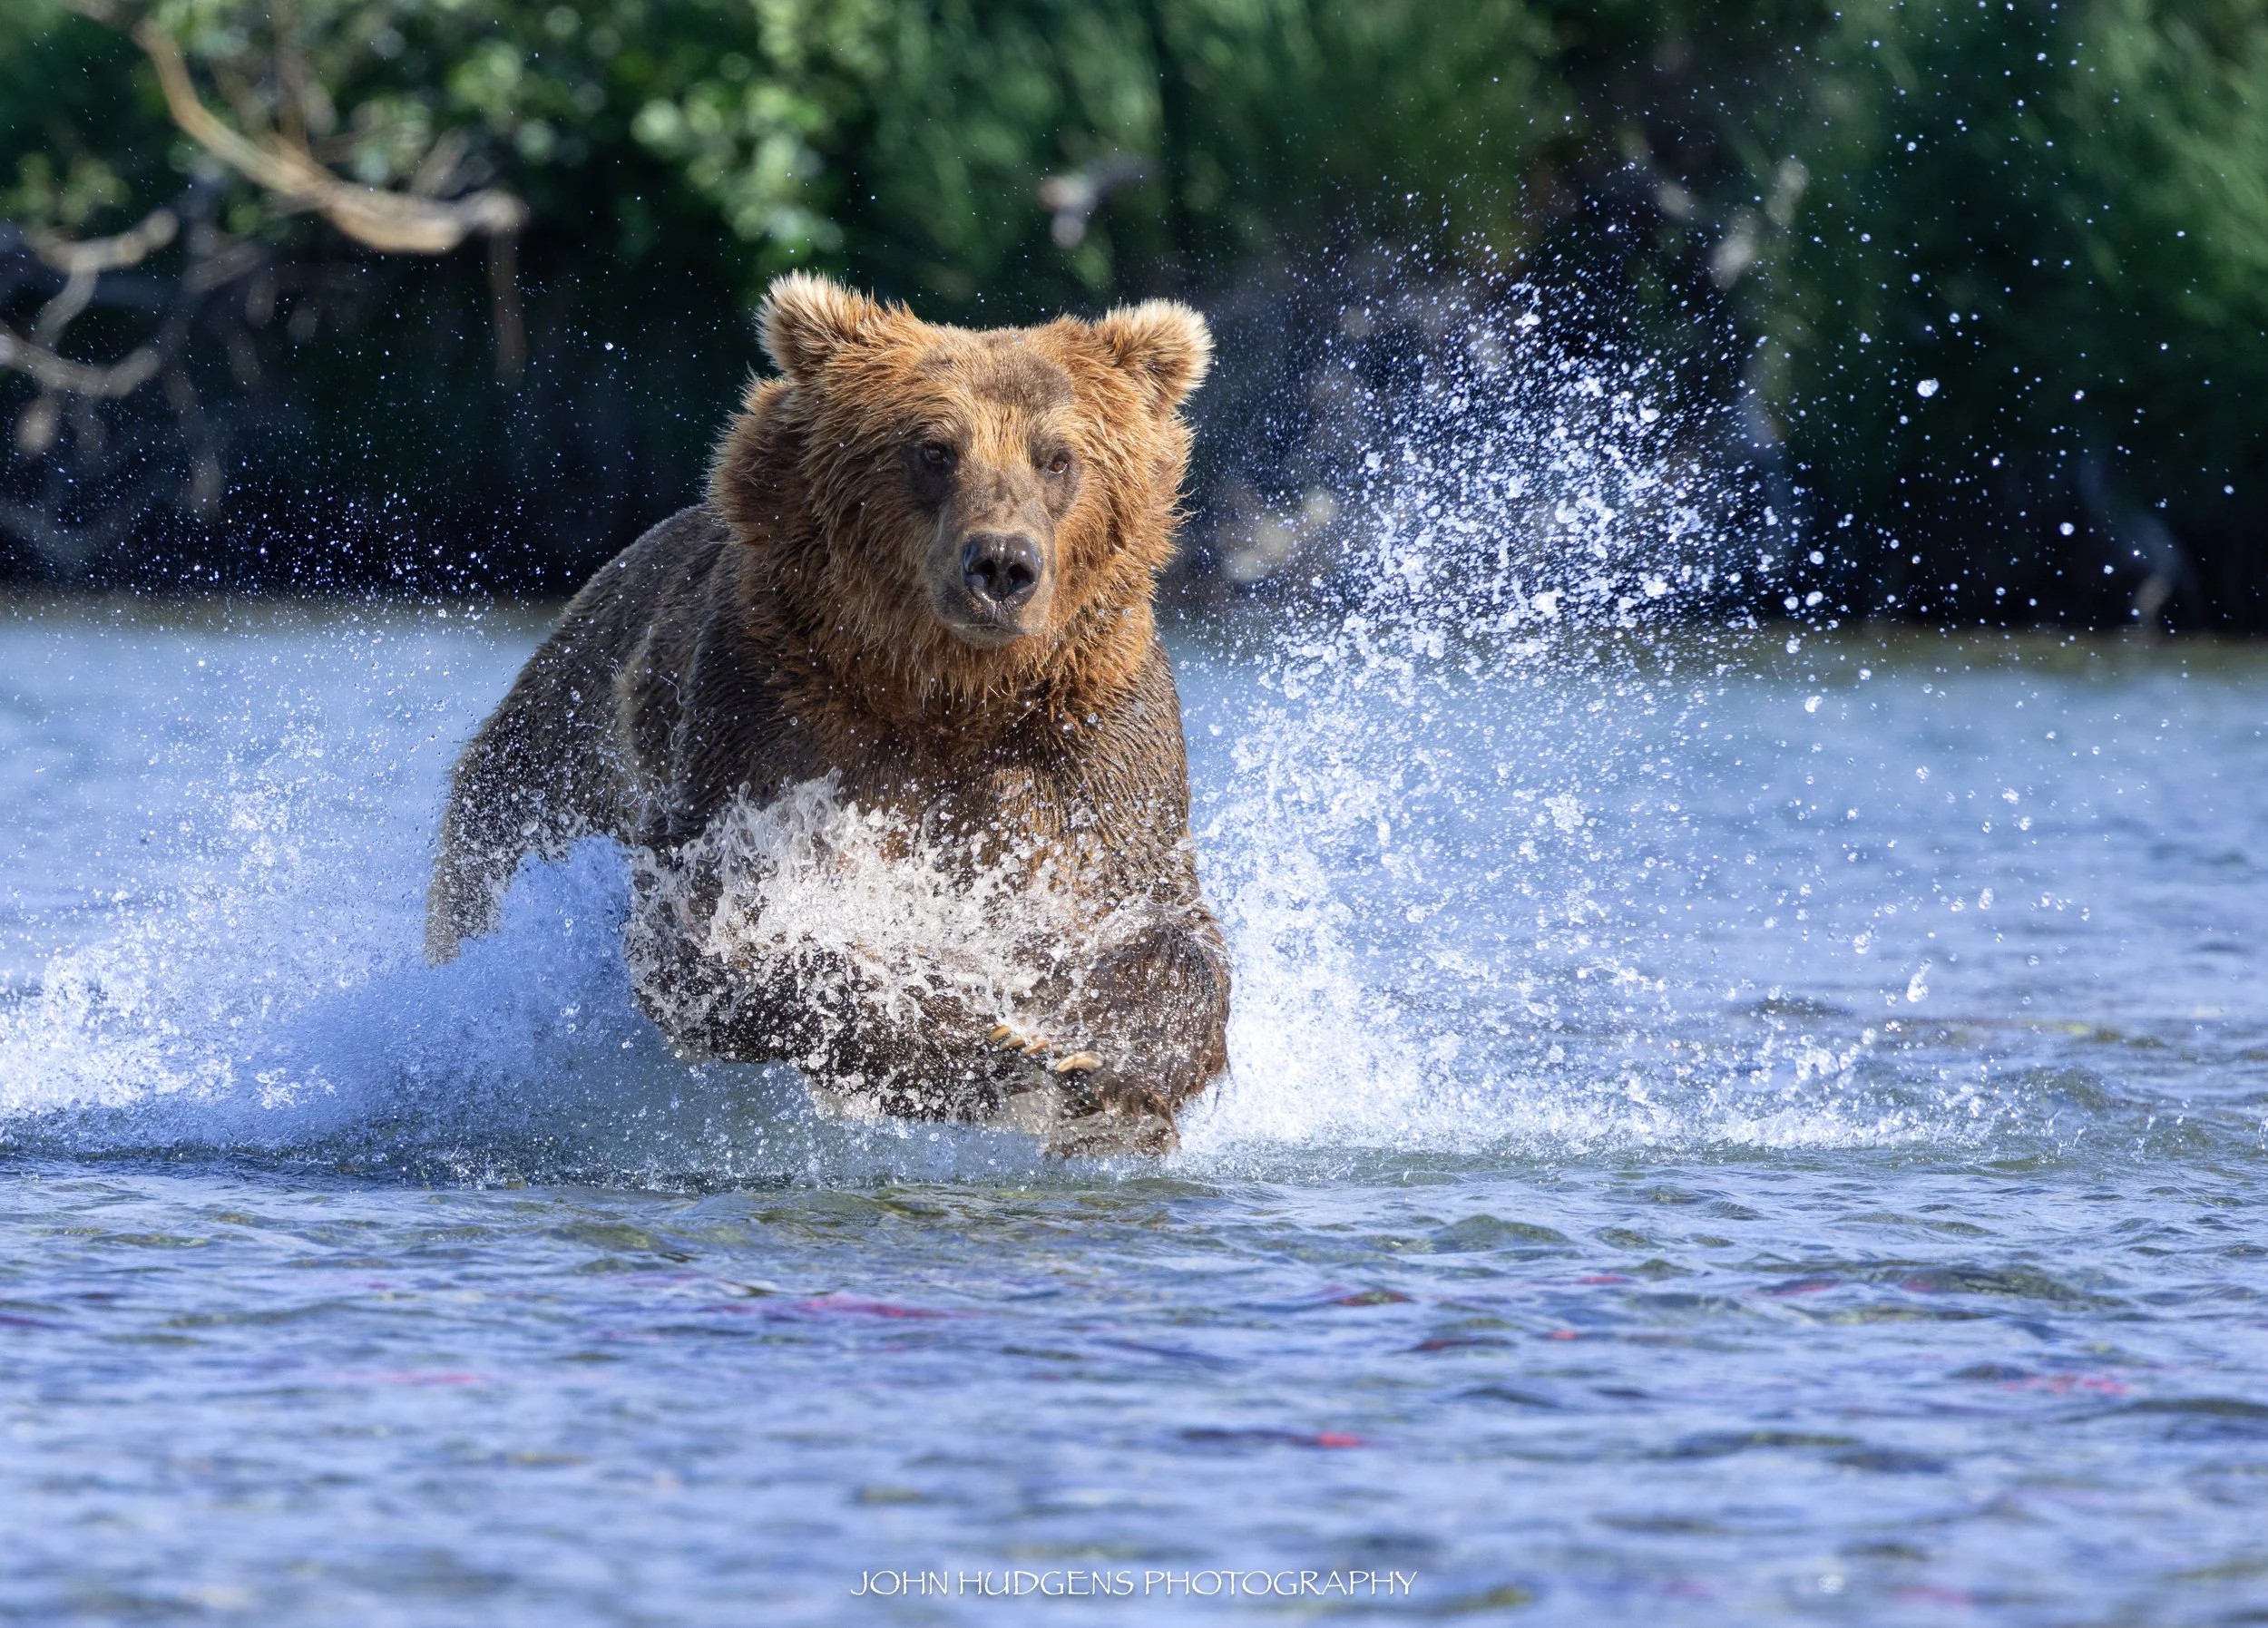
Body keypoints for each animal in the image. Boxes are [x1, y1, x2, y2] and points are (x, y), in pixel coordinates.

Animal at [425, 272, 1232, 1155]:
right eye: (934, 448)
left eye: (1058, 456)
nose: (1002, 565)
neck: (947, 694)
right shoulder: (768, 717)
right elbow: (717, 930)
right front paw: (990, 1041)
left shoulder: (1087, 738)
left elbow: (1158, 927)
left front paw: (1103, 1076)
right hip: (552, 760)